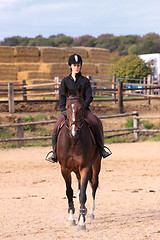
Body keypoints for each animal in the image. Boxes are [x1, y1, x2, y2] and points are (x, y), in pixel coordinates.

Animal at [56, 89, 102, 230]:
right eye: (66, 108)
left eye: (81, 108)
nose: (74, 132)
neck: (73, 142)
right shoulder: (64, 170)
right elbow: (70, 192)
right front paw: (71, 218)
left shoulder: (85, 168)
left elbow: (82, 195)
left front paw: (81, 221)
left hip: (96, 164)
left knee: (93, 185)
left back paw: (91, 213)